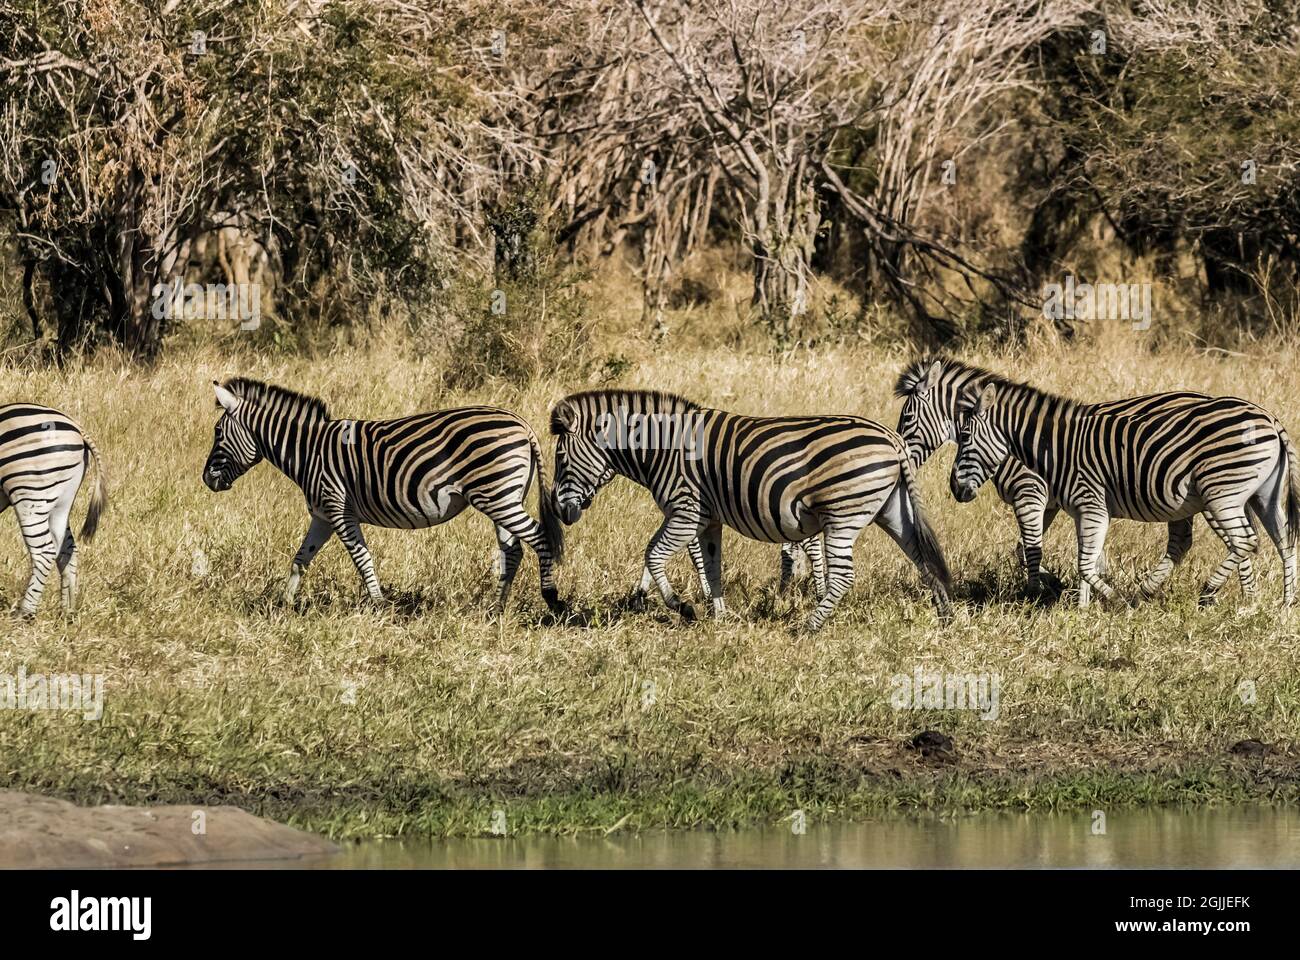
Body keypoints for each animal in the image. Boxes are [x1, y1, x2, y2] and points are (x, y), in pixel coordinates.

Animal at [0, 403, 106, 613]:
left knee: (45, 552)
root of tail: (77, 428)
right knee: (67, 549)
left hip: (31, 495)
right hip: (60, 502)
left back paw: (25, 613)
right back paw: (67, 611)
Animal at [202, 377, 564, 608]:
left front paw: (379, 605)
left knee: (539, 538)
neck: (308, 450)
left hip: (497, 497)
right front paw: (283, 605)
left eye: (218, 433)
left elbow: (362, 558)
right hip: (503, 498)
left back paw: (551, 600)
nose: (206, 480)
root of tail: (522, 423)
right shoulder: (322, 515)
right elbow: (301, 559)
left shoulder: (339, 510)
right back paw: (495, 608)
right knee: (512, 550)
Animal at [548, 387, 956, 629]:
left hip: (843, 515)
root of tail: (892, 438)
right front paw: (718, 616)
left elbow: (653, 553)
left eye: (561, 458)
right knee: (922, 556)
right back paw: (945, 615)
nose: (560, 510)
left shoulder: (686, 511)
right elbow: (710, 565)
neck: (664, 449)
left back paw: (809, 627)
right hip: (892, 509)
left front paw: (682, 607)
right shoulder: (707, 519)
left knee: (843, 576)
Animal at [894, 356, 1206, 600]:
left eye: (907, 418)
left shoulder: (1029, 493)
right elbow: (1024, 549)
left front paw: (1035, 594)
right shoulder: (1050, 502)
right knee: (1183, 541)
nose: (898, 456)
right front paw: (1059, 585)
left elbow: (1032, 550)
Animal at [951, 369, 1294, 606]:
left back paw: (1208, 591)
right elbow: (1082, 559)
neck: (1057, 446)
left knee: (1245, 540)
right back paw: (1284, 603)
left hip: (1221, 493)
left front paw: (1111, 601)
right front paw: (1081, 605)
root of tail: (1269, 418)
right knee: (1284, 540)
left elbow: (1083, 563)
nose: (955, 488)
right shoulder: (1081, 510)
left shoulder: (1085, 504)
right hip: (1264, 495)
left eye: (965, 435)